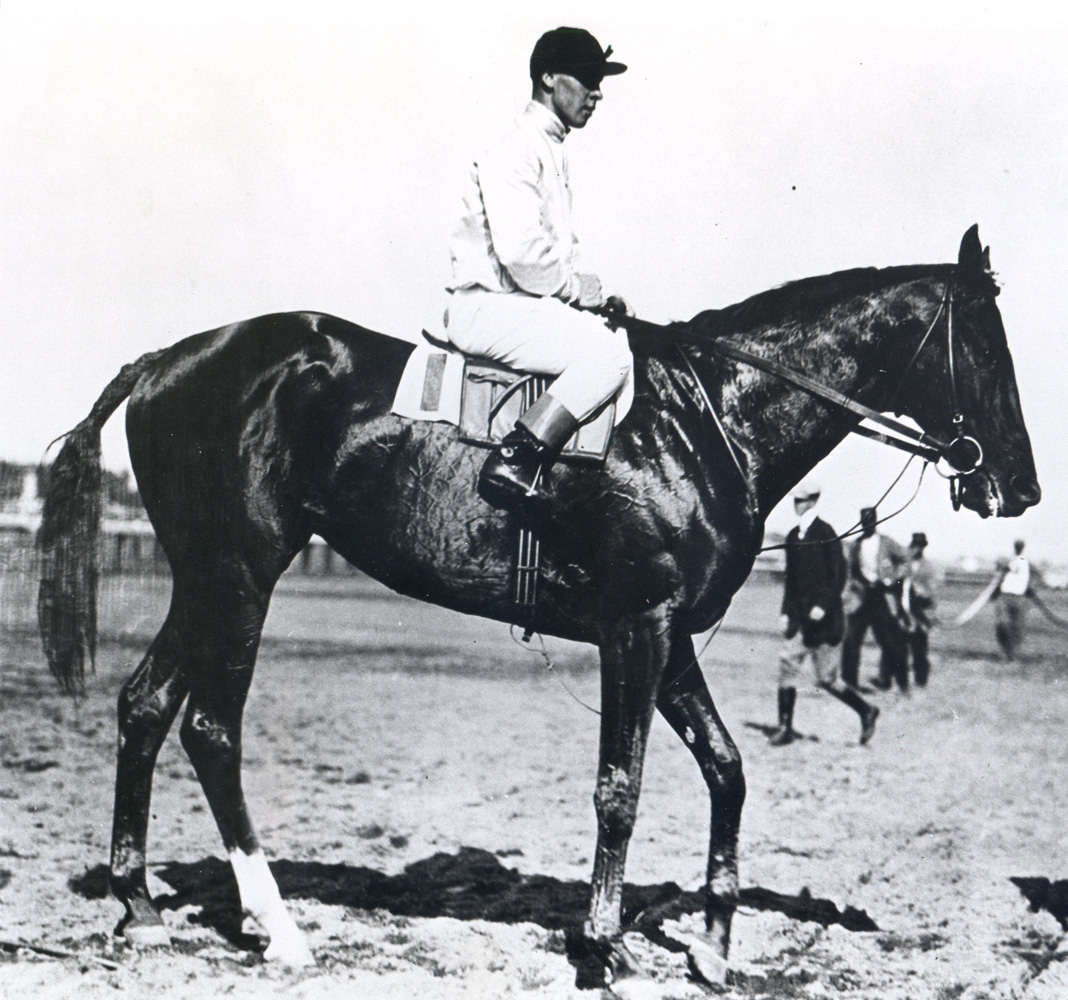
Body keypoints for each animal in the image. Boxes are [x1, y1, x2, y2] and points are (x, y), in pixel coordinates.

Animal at [37, 228, 1038, 991]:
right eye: (988, 347)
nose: (1021, 488)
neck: (704, 421)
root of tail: (166, 361)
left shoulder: (669, 638)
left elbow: (727, 767)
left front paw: (713, 946)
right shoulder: (636, 631)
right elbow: (620, 791)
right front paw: (605, 948)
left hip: (204, 580)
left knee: (144, 705)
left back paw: (138, 903)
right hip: (240, 575)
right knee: (211, 727)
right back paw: (278, 927)